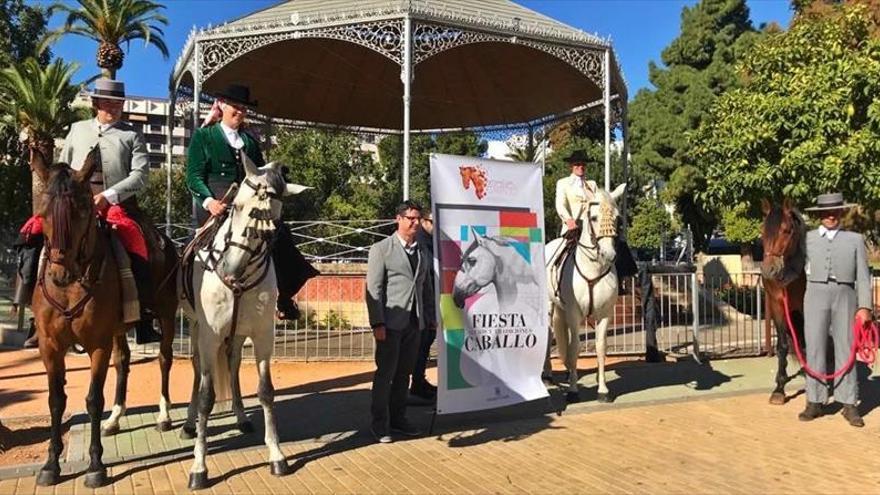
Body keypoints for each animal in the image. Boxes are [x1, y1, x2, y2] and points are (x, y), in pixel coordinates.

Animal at [30, 147, 179, 488]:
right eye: (42, 214)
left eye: (83, 212)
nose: (59, 274)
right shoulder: (50, 346)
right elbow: (56, 400)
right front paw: (51, 464)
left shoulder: (97, 343)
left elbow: (93, 400)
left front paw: (96, 465)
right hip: (119, 329)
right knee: (123, 362)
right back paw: (115, 418)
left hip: (166, 315)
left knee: (164, 359)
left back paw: (164, 415)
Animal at [177, 157, 308, 490]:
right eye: (235, 206)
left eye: (273, 224)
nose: (231, 268)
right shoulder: (209, 336)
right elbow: (206, 397)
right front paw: (199, 466)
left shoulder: (262, 335)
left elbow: (266, 391)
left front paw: (276, 455)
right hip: (196, 328)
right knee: (196, 368)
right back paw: (188, 423)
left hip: (237, 334)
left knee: (234, 363)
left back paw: (240, 416)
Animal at [544, 184, 624, 404]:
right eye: (594, 217)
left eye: (618, 218)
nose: (609, 255)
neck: (593, 268)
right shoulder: (574, 314)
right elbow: (575, 348)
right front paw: (572, 390)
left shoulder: (605, 314)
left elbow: (600, 348)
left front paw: (603, 390)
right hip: (550, 306)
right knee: (549, 335)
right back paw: (547, 374)